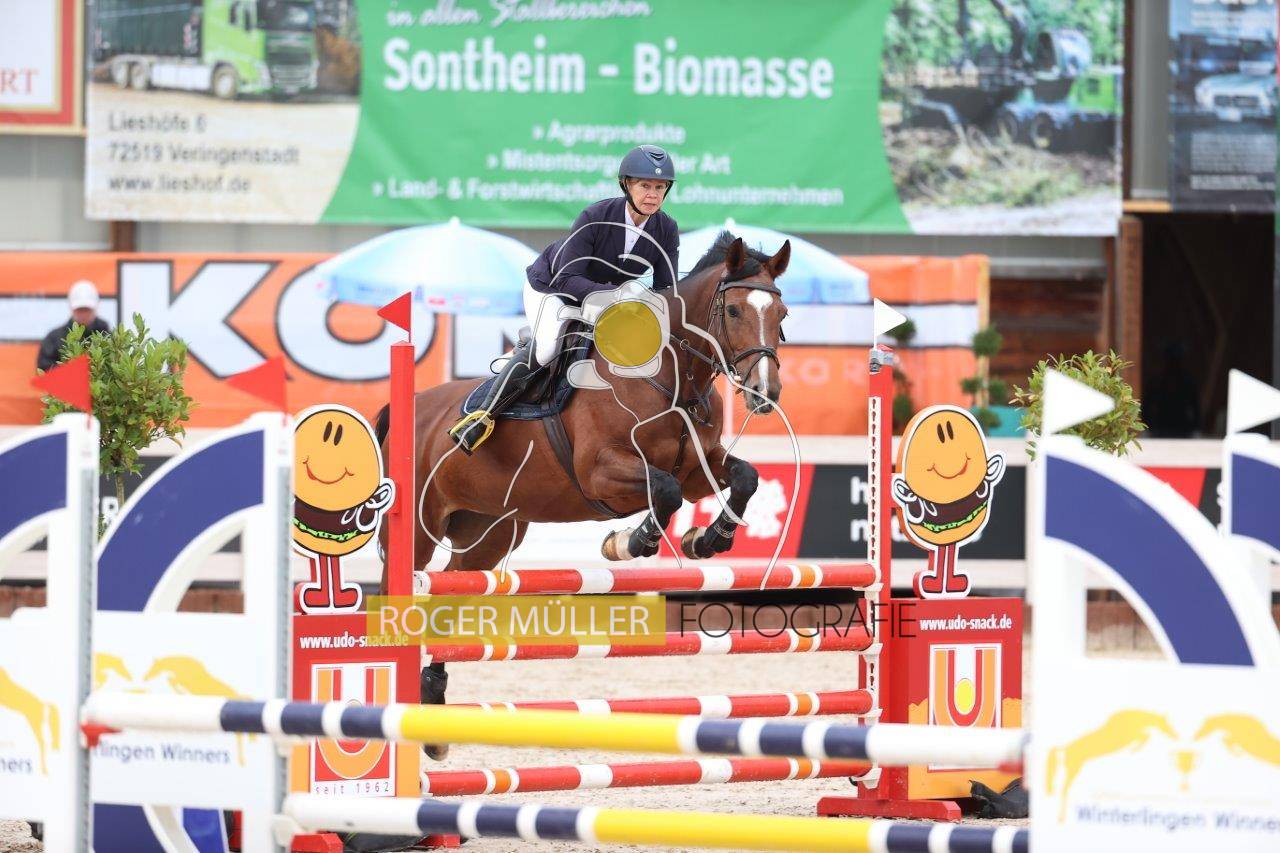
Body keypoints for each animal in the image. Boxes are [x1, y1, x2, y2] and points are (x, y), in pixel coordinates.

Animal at [375, 232, 790, 753]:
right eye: (733, 311)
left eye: (783, 313)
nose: (765, 392)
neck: (671, 378)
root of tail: (410, 407)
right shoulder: (602, 474)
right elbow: (665, 490)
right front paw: (629, 543)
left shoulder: (700, 466)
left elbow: (743, 478)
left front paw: (707, 539)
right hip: (418, 529)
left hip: (488, 535)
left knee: (450, 599)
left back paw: (431, 706)